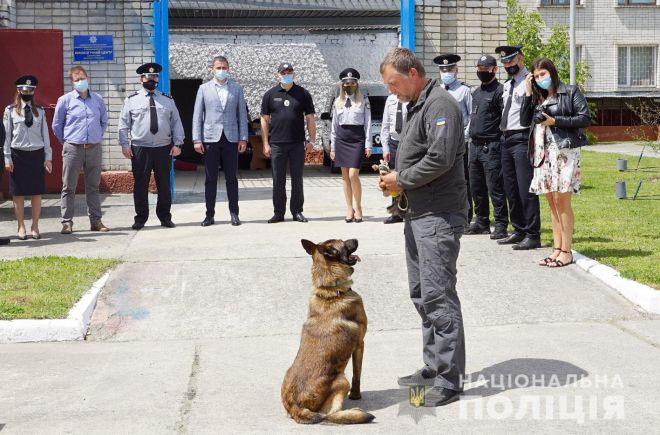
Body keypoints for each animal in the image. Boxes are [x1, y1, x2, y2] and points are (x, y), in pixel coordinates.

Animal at [280, 238, 376, 426]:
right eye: (344, 243)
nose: (356, 239)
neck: (331, 292)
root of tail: (295, 407)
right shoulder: (360, 345)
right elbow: (357, 374)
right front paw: (356, 396)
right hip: (341, 380)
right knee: (328, 415)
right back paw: (353, 413)